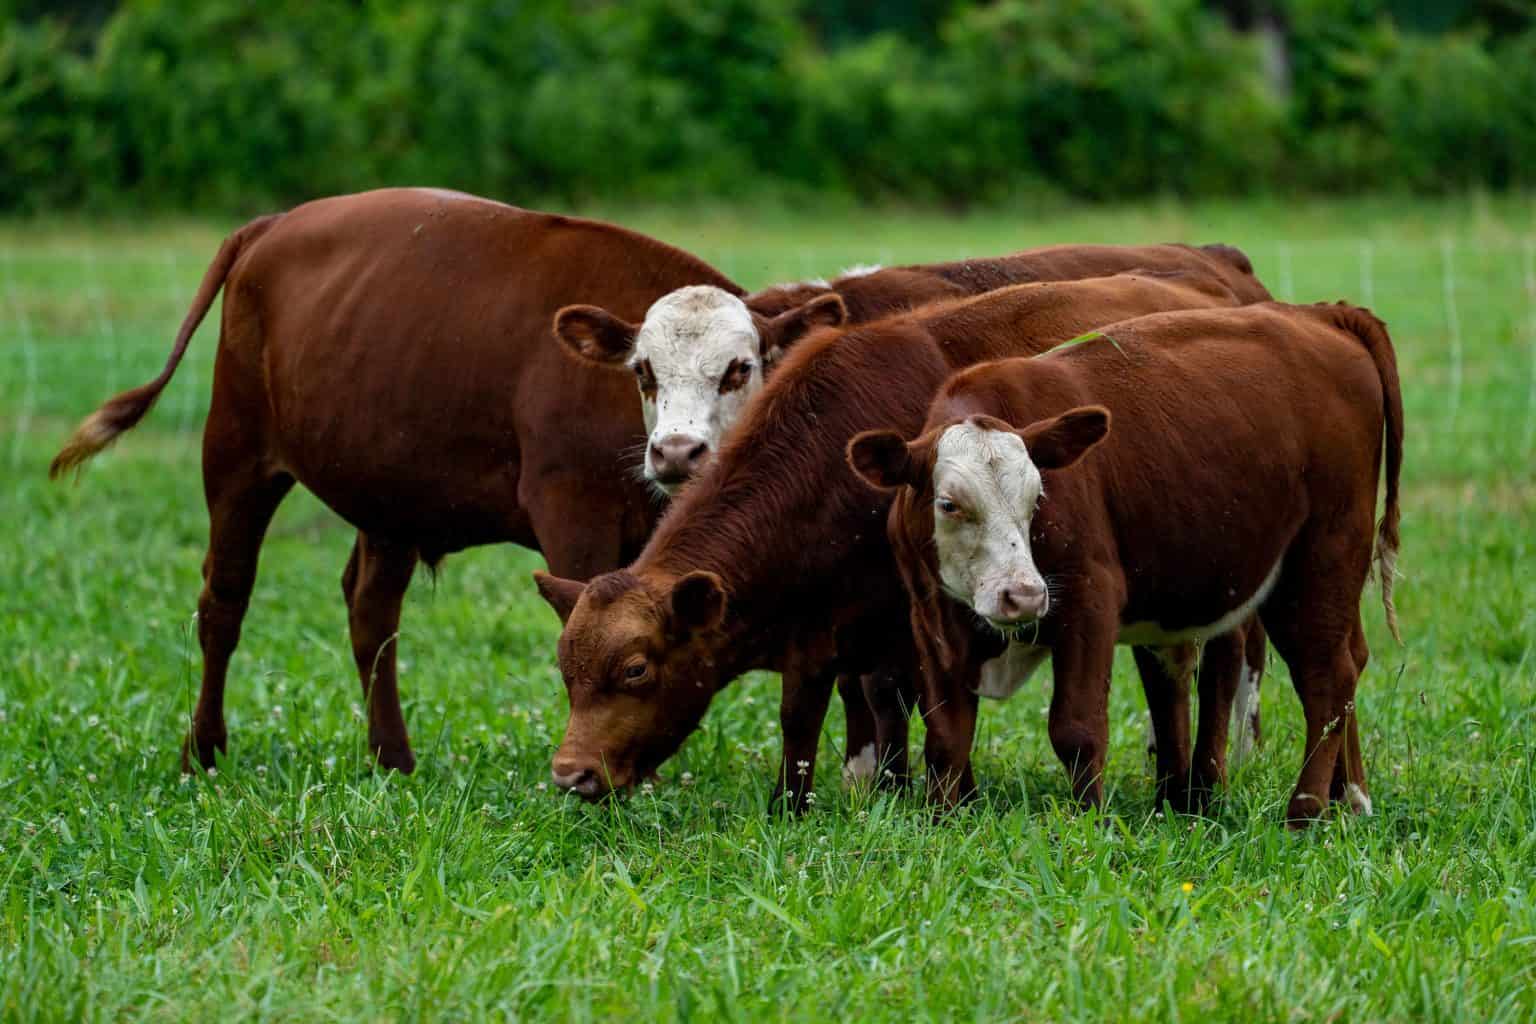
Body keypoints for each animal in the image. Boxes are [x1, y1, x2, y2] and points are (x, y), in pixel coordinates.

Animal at [48, 187, 773, 776]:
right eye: (642, 371)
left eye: (740, 368)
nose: (677, 452)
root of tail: (271, 225)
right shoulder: (574, 511)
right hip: (235, 452)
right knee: (224, 601)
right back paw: (204, 750)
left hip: (387, 490)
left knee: (370, 610)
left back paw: (390, 755)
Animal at [533, 269, 1254, 809]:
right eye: (567, 671)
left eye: (636, 669)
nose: (571, 774)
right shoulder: (816, 626)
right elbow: (805, 718)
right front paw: (806, 805)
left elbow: (906, 705)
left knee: (1225, 665)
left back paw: (1207, 784)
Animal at [846, 303, 1403, 826]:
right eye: (949, 504)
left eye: (1037, 497)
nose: (1023, 596)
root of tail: (1320, 314)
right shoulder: (930, 615)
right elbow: (946, 734)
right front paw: (944, 817)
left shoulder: (1089, 599)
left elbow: (1076, 728)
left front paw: (1087, 819)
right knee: (1341, 662)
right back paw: (1345, 797)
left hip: (1323, 558)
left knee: (1327, 676)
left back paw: (1304, 811)